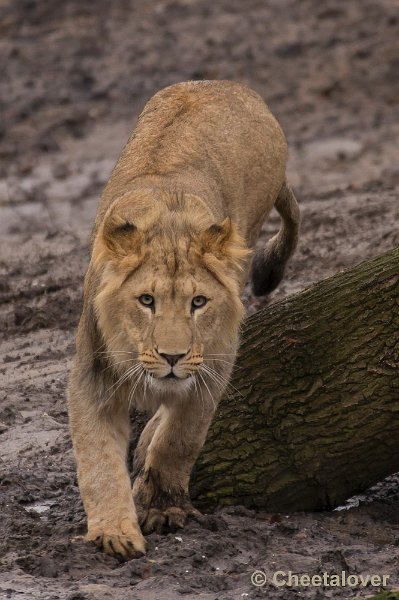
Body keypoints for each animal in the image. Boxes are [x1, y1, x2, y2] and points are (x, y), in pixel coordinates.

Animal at [68, 77, 300, 560]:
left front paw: (161, 507)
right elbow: (97, 459)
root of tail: (226, 84)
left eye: (198, 302)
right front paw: (114, 531)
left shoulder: (215, 362)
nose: (172, 357)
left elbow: (181, 437)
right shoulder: (92, 373)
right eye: (146, 300)